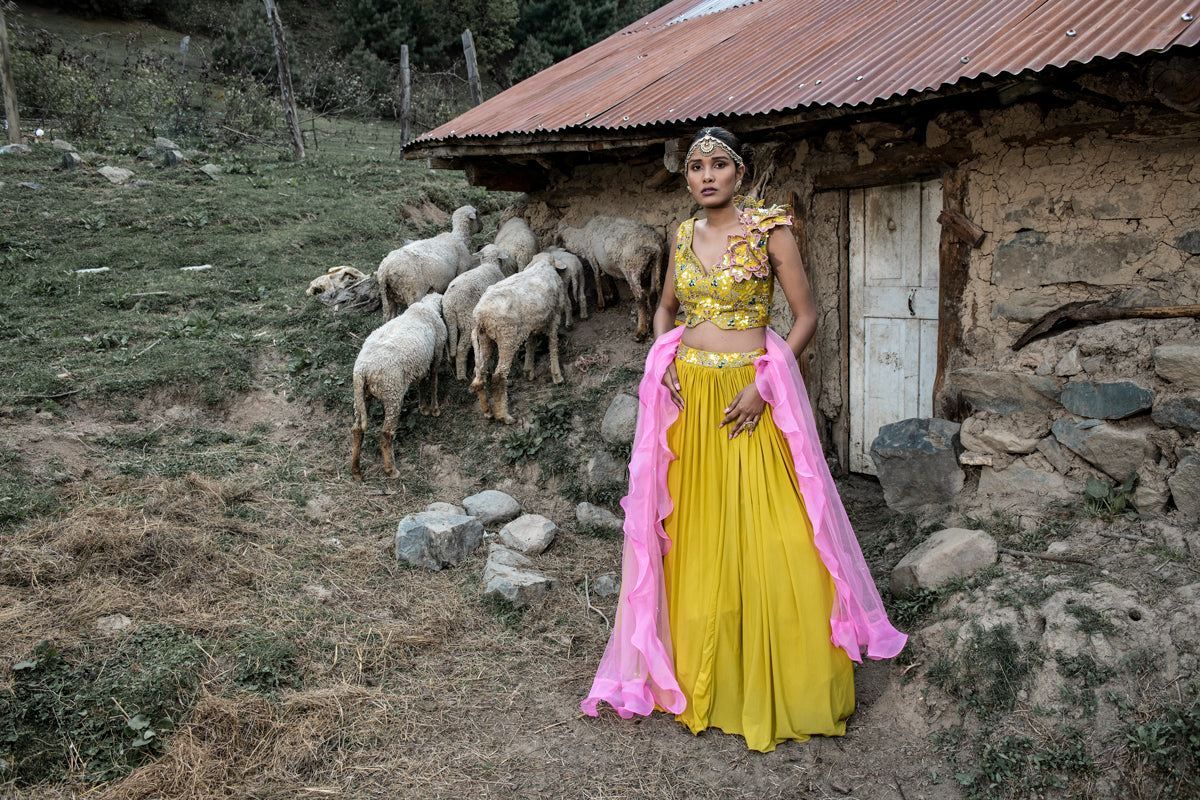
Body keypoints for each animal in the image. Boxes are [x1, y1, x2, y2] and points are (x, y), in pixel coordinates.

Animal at [352, 293, 451, 482]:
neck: (426, 308)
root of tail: (363, 371)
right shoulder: (436, 352)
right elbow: (433, 381)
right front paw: (434, 408)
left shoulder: (420, 363)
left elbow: (422, 382)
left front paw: (423, 407)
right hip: (392, 393)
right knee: (385, 433)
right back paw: (391, 469)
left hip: (361, 395)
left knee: (357, 428)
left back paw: (356, 470)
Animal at [444, 244, 513, 381]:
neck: (490, 265)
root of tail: (451, 304)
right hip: (466, 320)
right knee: (461, 349)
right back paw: (461, 376)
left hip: (448, 319)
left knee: (450, 342)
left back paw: (451, 363)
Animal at [468, 261, 566, 424]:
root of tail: (480, 318)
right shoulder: (555, 315)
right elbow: (553, 344)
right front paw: (557, 376)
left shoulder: (532, 324)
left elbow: (531, 344)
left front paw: (529, 371)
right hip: (507, 338)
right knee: (498, 377)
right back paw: (504, 416)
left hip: (485, 338)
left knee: (479, 372)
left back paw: (487, 411)